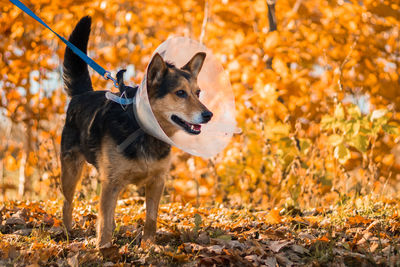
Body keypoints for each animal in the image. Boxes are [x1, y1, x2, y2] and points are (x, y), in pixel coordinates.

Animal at [59, 15, 212, 248]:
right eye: (180, 93)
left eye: (198, 92)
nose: (208, 115)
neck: (143, 129)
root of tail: (82, 94)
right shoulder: (110, 183)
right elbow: (104, 223)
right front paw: (103, 249)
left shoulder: (157, 181)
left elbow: (151, 218)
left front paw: (148, 246)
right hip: (71, 169)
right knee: (67, 203)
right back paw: (68, 232)